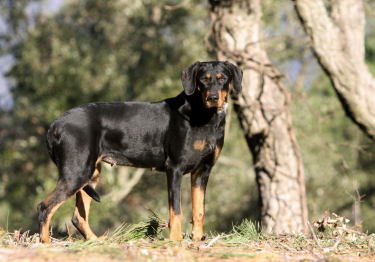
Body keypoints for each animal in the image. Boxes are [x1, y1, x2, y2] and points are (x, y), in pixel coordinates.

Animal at [37, 60, 244, 243]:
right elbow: (176, 210)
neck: (204, 116)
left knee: (78, 217)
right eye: (203, 79)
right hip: (76, 173)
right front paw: (175, 240)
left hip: (91, 174)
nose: (213, 98)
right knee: (44, 207)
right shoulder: (175, 169)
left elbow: (199, 209)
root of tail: (56, 124)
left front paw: (197, 239)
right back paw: (46, 243)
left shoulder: (203, 171)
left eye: (223, 79)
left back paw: (96, 242)